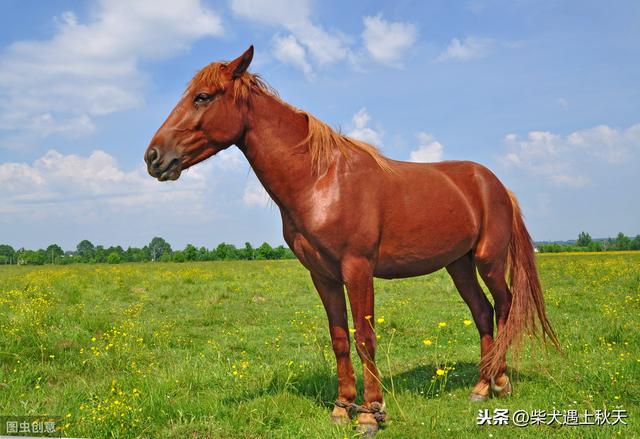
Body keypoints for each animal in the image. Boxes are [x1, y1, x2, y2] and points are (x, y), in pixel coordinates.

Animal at [146, 45, 560, 436]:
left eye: (203, 97)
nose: (154, 157)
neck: (321, 181)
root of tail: (495, 184)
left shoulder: (358, 269)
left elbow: (365, 338)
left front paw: (371, 414)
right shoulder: (323, 275)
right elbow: (340, 339)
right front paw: (342, 408)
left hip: (488, 259)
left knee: (504, 306)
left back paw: (500, 382)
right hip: (458, 264)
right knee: (482, 312)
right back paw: (480, 386)